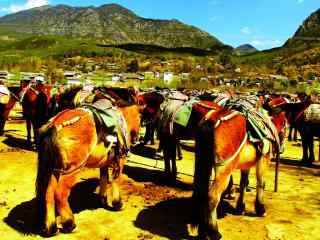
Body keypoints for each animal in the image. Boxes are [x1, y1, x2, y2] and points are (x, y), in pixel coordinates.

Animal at [35, 87, 144, 236]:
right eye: (140, 117)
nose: (137, 137)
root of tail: (54, 125)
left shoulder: (104, 163)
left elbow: (104, 178)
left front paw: (102, 199)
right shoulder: (120, 160)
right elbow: (116, 180)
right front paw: (117, 203)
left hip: (55, 170)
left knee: (48, 193)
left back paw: (51, 227)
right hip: (72, 171)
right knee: (60, 194)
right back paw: (69, 223)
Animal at [189, 98, 284, 240]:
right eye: (284, 123)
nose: (282, 148)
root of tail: (212, 120)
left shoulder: (246, 165)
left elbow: (243, 183)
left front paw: (240, 207)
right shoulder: (264, 160)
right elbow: (261, 183)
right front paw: (260, 209)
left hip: (204, 162)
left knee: (202, 194)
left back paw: (203, 231)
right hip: (224, 170)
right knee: (212, 197)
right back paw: (214, 232)